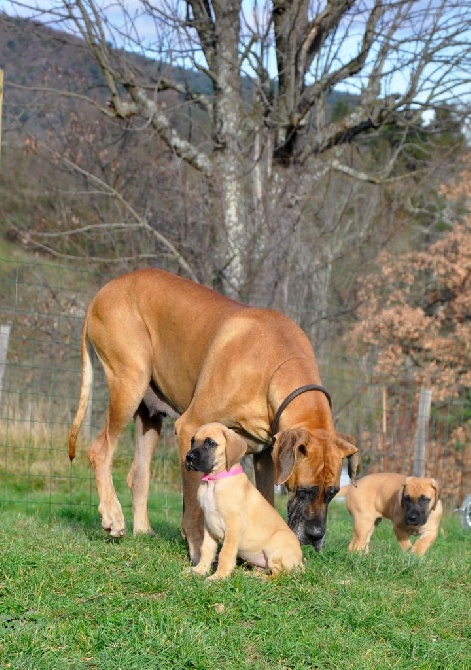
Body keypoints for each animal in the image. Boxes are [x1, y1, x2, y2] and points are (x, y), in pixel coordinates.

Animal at [186, 422, 304, 580]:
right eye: (192, 441)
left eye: (210, 443)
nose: (189, 457)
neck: (214, 481)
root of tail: (301, 563)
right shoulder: (208, 526)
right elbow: (206, 550)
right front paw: (199, 570)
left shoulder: (233, 526)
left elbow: (225, 553)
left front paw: (218, 577)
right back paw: (248, 574)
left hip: (275, 546)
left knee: (278, 574)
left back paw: (261, 579)